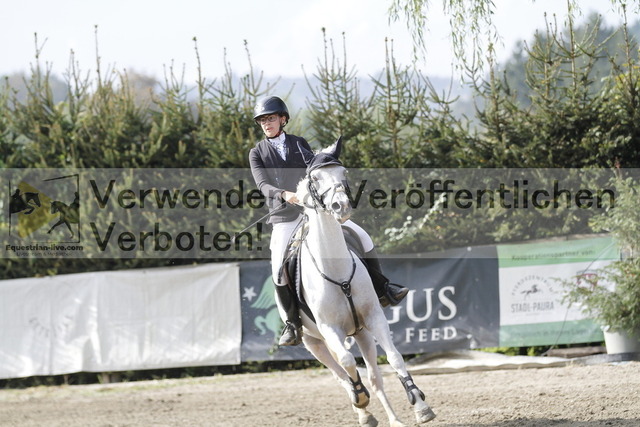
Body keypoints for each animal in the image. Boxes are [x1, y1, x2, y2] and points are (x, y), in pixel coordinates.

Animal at [292, 137, 436, 427]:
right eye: (315, 178)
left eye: (343, 172)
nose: (341, 207)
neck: (336, 271)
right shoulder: (330, 330)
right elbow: (348, 362)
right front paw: (360, 399)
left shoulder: (373, 317)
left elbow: (394, 357)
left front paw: (420, 404)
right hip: (314, 342)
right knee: (340, 373)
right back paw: (362, 408)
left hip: (361, 333)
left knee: (374, 377)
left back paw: (393, 419)